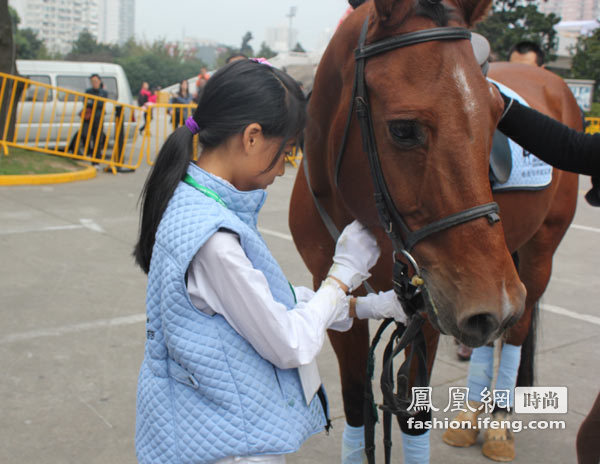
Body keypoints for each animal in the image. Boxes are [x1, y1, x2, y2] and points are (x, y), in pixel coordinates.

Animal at [288, 0, 580, 460]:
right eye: (403, 129)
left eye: (496, 115)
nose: (494, 301)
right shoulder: (333, 288)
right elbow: (357, 409)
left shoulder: (431, 305)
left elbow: (413, 416)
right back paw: (471, 416)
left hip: (534, 259)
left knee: (514, 333)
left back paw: (498, 424)